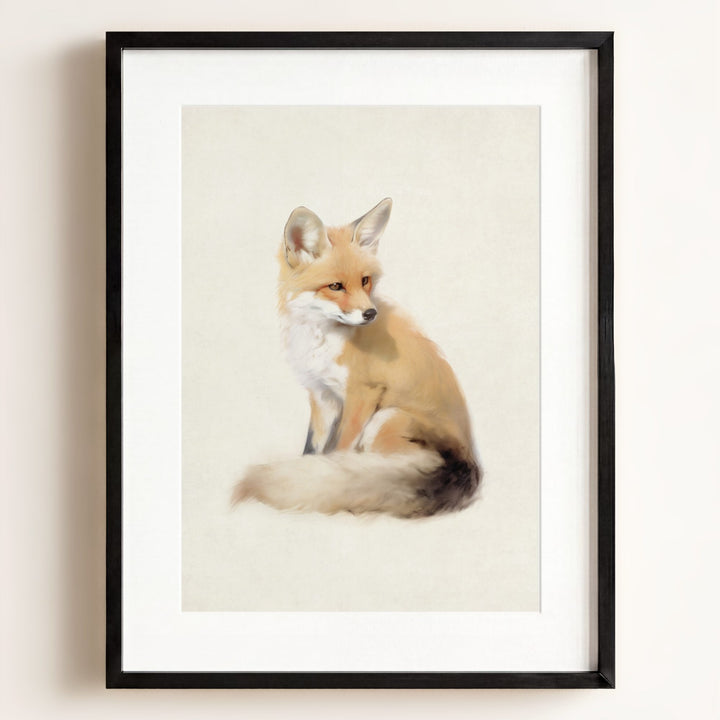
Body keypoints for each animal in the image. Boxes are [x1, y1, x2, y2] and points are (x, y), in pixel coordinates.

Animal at [232, 198, 481, 518]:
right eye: (335, 286)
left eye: (365, 281)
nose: (370, 314)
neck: (320, 341)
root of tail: (469, 464)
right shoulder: (321, 396)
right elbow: (314, 448)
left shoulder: (362, 395)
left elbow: (340, 451)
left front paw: (326, 480)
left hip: (385, 419)